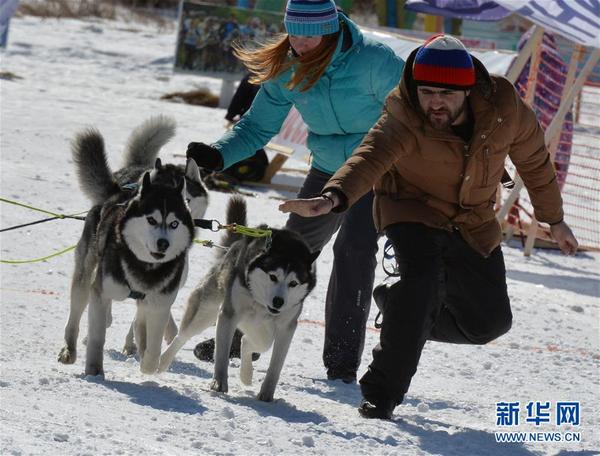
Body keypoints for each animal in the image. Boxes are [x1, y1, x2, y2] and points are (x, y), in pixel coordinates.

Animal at [58, 116, 204, 374]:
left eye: (176, 221)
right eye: (151, 219)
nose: (163, 243)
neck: (145, 267)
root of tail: (117, 191)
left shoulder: (160, 301)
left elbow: (151, 344)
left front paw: (146, 354)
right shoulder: (102, 290)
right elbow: (98, 334)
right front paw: (95, 370)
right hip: (85, 276)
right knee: (78, 312)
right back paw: (70, 348)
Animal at [158, 198, 318, 400]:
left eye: (294, 283)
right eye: (273, 276)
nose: (278, 302)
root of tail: (237, 243)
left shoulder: (286, 327)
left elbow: (275, 366)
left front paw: (267, 394)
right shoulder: (229, 314)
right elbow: (221, 354)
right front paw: (219, 383)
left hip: (259, 328)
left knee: (251, 342)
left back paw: (246, 375)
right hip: (206, 311)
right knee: (182, 336)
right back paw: (162, 362)